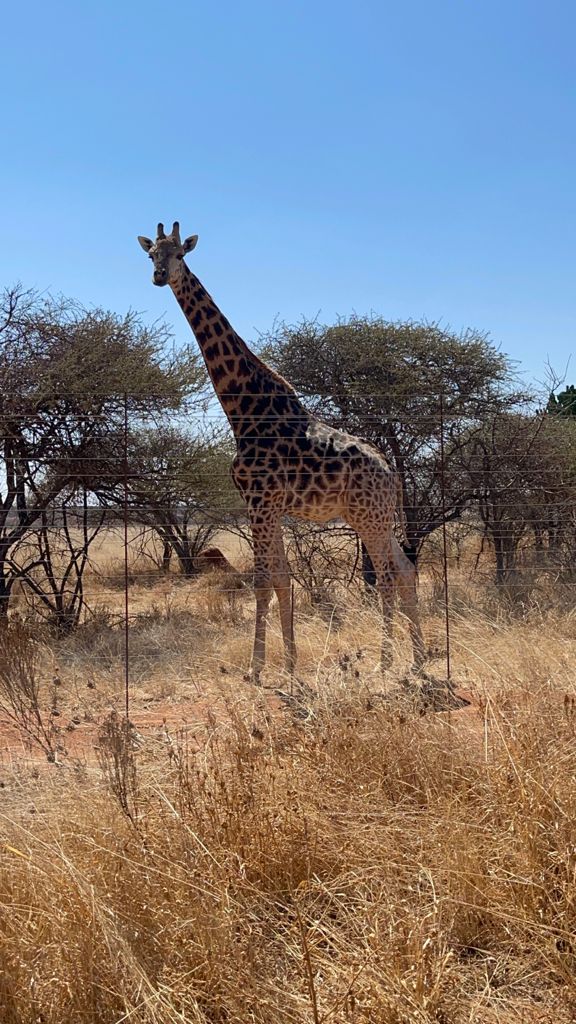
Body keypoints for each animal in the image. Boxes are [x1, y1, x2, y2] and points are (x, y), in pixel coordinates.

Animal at [138, 222, 425, 682]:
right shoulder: (264, 505)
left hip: (370, 517)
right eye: (151, 255)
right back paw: (417, 659)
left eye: (180, 254)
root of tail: (391, 473)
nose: (160, 276)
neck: (242, 408)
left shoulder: (261, 502)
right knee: (407, 570)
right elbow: (283, 579)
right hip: (372, 516)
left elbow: (262, 583)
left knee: (385, 577)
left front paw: (255, 670)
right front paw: (289, 665)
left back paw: (385, 663)